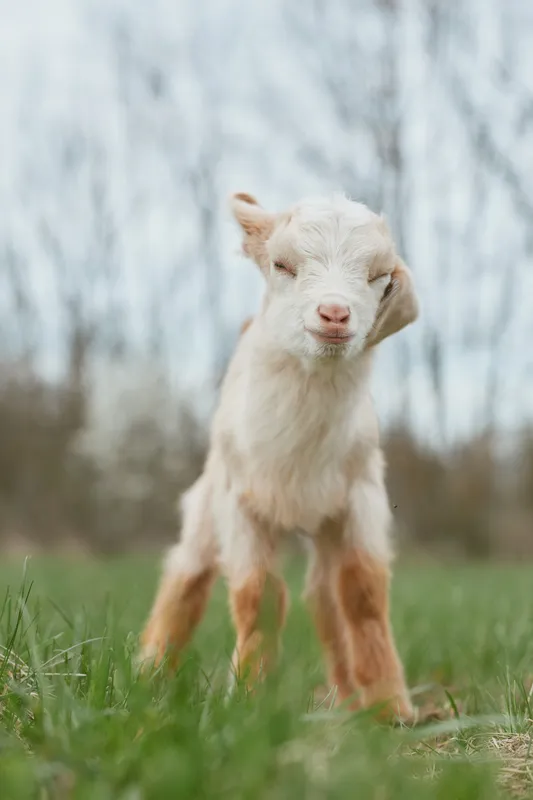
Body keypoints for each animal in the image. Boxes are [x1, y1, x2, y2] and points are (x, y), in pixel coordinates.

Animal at [140, 192, 419, 721]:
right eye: (282, 265)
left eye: (379, 275)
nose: (334, 313)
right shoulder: (239, 503)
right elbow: (260, 596)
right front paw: (250, 697)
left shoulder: (362, 497)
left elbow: (362, 593)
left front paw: (390, 706)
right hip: (209, 500)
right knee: (187, 574)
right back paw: (148, 672)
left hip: (326, 522)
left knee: (324, 597)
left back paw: (348, 698)